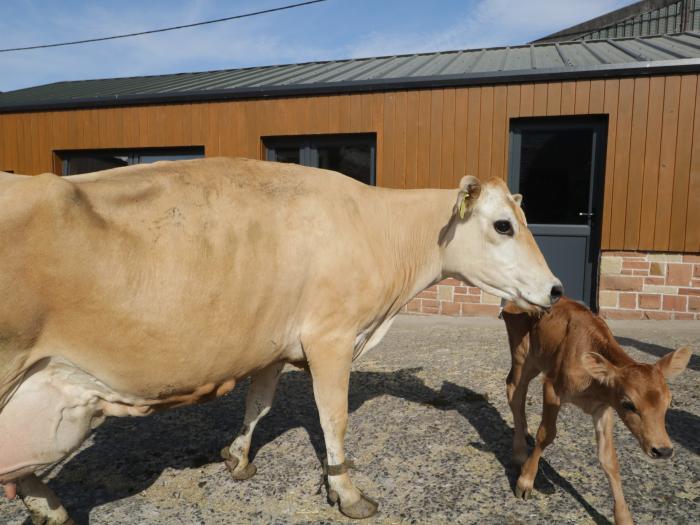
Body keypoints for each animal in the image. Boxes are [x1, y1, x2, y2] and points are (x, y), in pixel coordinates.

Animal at [500, 296, 692, 520]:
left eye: (668, 403)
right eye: (628, 404)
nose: (663, 450)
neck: (592, 385)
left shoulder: (604, 407)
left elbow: (609, 459)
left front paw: (624, 517)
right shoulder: (552, 388)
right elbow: (546, 435)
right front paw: (526, 481)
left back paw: (524, 432)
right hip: (522, 353)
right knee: (515, 390)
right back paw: (519, 453)